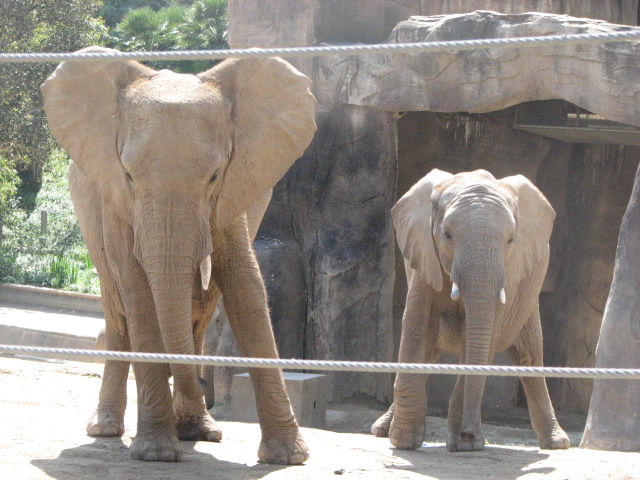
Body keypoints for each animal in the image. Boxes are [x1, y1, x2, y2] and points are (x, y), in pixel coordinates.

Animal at [41, 46, 317, 464]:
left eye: (214, 176)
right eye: (129, 175)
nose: (203, 381)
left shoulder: (234, 190)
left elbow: (246, 287)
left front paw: (288, 458)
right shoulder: (115, 196)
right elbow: (138, 291)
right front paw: (155, 454)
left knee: (200, 312)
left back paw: (197, 430)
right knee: (118, 309)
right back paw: (106, 428)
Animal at [371, 169, 570, 453]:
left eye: (511, 239)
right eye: (447, 235)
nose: (467, 433)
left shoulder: (509, 273)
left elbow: (480, 341)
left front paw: (466, 445)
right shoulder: (424, 256)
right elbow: (417, 331)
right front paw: (404, 442)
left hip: (529, 298)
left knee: (529, 357)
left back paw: (557, 443)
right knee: (431, 351)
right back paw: (380, 430)